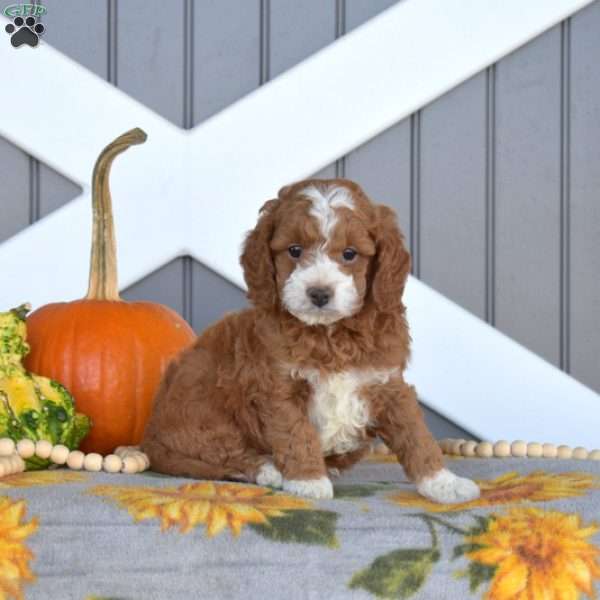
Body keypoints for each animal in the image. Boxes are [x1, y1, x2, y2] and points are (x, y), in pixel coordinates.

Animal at [139, 178, 478, 502]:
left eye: (350, 254)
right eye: (294, 250)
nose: (319, 293)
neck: (330, 334)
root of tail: (151, 438)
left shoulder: (387, 381)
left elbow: (415, 433)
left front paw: (444, 483)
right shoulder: (278, 387)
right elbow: (295, 434)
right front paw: (308, 481)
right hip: (203, 410)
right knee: (223, 454)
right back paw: (268, 469)